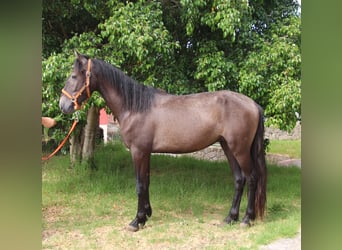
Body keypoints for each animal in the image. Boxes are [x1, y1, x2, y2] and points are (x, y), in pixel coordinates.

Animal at [59, 52, 268, 232]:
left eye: (73, 76)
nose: (63, 105)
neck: (136, 107)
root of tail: (253, 104)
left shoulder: (138, 151)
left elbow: (139, 184)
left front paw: (136, 221)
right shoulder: (146, 152)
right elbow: (146, 182)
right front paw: (146, 214)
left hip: (240, 150)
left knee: (252, 178)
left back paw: (247, 219)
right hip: (228, 147)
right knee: (239, 179)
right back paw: (230, 218)